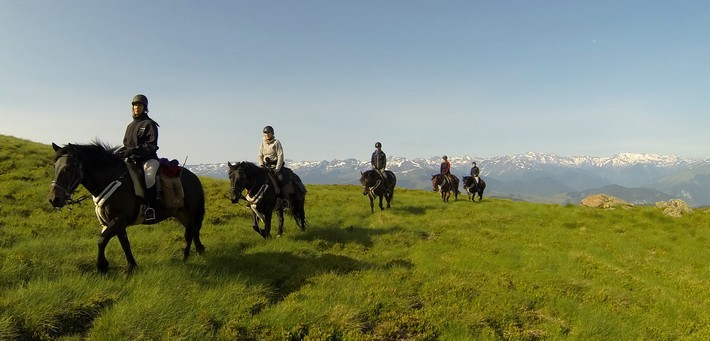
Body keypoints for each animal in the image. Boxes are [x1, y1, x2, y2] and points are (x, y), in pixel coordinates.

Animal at [47, 142, 206, 272]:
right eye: (55, 167)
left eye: (68, 168)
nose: (54, 199)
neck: (111, 179)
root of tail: (194, 178)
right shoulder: (115, 222)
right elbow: (124, 243)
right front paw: (131, 266)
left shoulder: (120, 219)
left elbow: (102, 240)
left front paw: (102, 266)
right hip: (181, 214)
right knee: (193, 231)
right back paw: (197, 251)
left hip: (190, 213)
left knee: (190, 233)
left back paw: (185, 258)